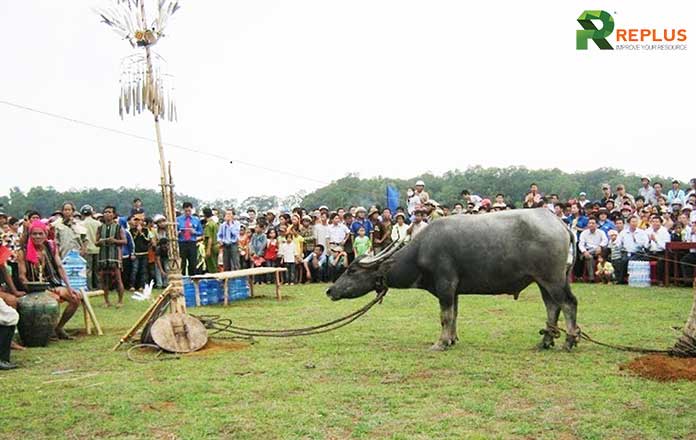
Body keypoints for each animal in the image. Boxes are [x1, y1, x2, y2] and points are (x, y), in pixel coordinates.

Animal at [328, 209, 580, 350]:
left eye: (352, 270)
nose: (330, 291)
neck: (421, 250)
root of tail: (560, 224)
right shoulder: (454, 290)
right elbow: (455, 315)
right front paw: (451, 339)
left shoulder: (445, 285)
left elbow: (445, 316)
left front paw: (440, 343)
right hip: (542, 280)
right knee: (552, 307)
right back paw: (546, 341)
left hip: (552, 279)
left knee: (568, 303)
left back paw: (569, 341)